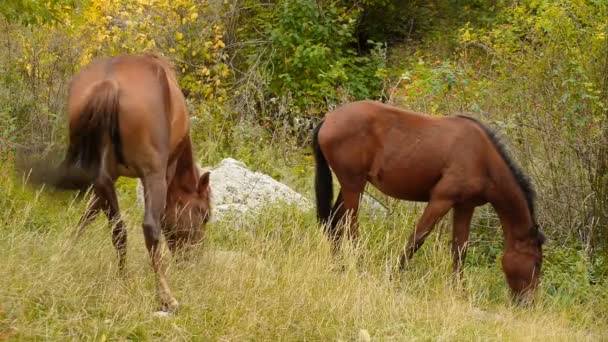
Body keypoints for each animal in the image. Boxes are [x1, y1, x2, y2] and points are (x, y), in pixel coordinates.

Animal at [55, 53, 211, 312]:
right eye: (204, 214)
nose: (192, 259)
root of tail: (109, 85)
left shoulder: (110, 175)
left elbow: (89, 213)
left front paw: (64, 253)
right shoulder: (163, 172)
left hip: (102, 174)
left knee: (118, 229)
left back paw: (124, 279)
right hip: (152, 175)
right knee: (149, 228)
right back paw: (166, 296)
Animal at [314, 99, 548, 302]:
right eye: (537, 262)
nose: (529, 303)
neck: (483, 159)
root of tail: (328, 119)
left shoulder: (465, 206)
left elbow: (459, 249)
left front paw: (459, 291)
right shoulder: (441, 200)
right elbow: (416, 239)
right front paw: (393, 277)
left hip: (351, 186)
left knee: (334, 223)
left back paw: (339, 266)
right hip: (354, 186)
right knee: (350, 227)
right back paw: (359, 267)